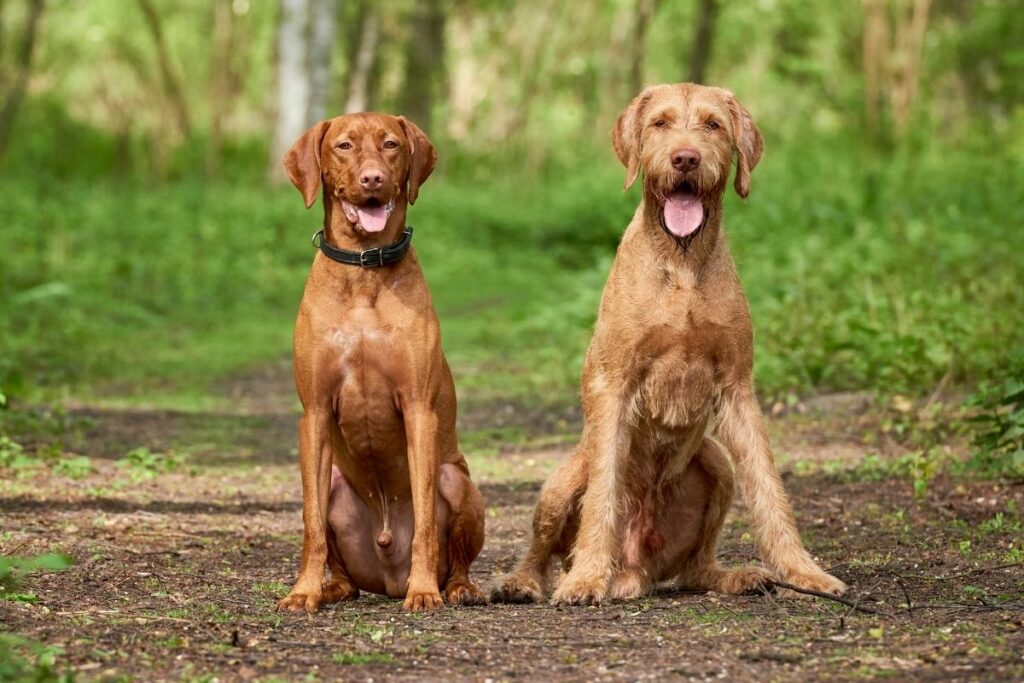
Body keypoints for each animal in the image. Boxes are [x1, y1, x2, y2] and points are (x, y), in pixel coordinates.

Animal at [278, 113, 485, 614]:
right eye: (345, 145)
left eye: (391, 145)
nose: (372, 179)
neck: (364, 271)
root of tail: (388, 577)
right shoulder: (314, 413)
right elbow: (311, 525)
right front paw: (302, 592)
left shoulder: (419, 411)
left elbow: (426, 521)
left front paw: (424, 589)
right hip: (335, 485)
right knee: (345, 570)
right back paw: (331, 587)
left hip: (458, 480)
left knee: (455, 552)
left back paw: (456, 588)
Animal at [491, 83, 843, 602]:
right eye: (660, 123)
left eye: (713, 125)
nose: (685, 159)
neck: (682, 265)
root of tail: (637, 568)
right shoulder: (614, 386)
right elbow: (604, 495)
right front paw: (586, 577)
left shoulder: (738, 387)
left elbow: (768, 486)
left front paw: (803, 571)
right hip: (563, 478)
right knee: (542, 549)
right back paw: (523, 582)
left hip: (715, 464)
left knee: (696, 566)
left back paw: (736, 576)